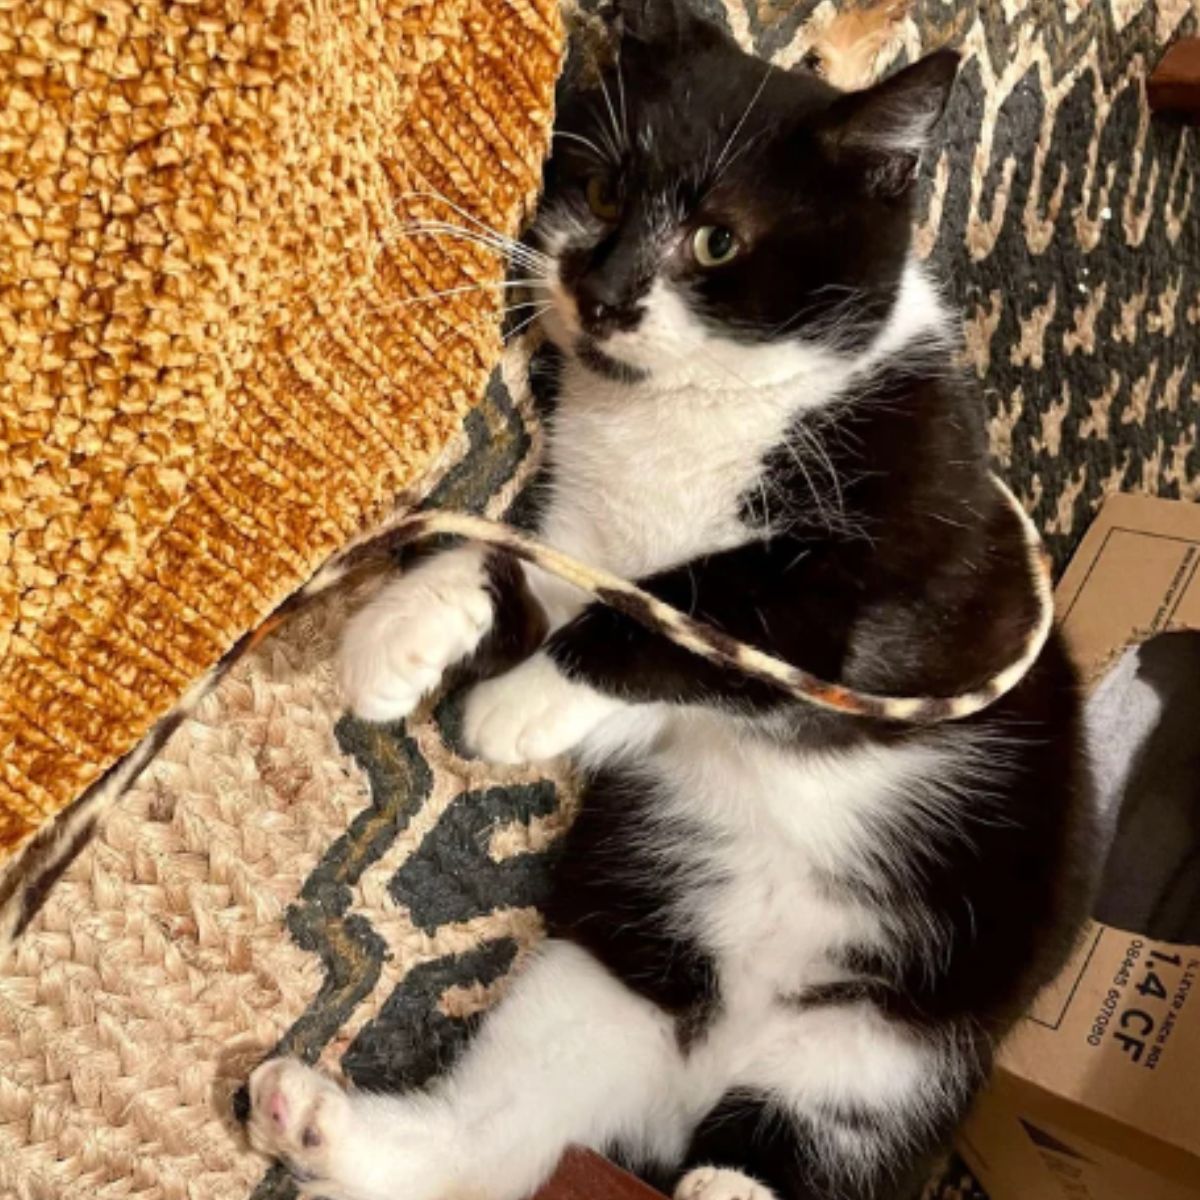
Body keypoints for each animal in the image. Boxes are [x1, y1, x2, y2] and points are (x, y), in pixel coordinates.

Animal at [243, 4, 1099, 1195]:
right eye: (604, 192)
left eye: (717, 242)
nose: (603, 296)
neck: (681, 419)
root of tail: (706, 1074)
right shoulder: (586, 534)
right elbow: (531, 574)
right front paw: (401, 636)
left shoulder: (918, 593)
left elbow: (704, 606)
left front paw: (515, 706)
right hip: (613, 974)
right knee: (486, 1150)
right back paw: (315, 1124)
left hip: (883, 1061)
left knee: (793, 1150)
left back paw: (719, 1179)